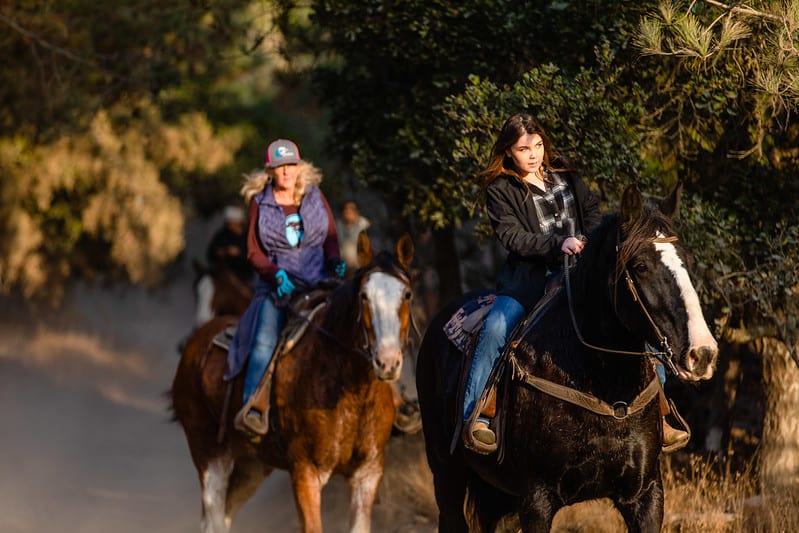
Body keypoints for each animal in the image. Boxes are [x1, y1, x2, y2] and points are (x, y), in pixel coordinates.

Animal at [171, 233, 416, 532]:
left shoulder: (368, 473)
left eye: (407, 294)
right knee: (214, 516)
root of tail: (195, 343)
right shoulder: (305, 472)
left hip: (253, 463)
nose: (387, 361)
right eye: (363, 296)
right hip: (208, 451)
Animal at [418, 181, 720, 528]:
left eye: (689, 262)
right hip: (447, 476)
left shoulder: (646, 495)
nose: (703, 353)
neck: (604, 386)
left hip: (497, 495)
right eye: (641, 266)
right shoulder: (537, 500)